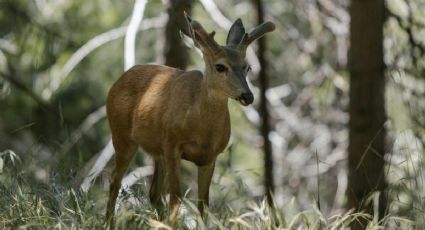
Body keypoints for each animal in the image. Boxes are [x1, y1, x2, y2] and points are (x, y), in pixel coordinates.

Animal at [104, 13, 274, 226]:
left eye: (247, 67)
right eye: (220, 67)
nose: (248, 96)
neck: (201, 131)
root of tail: (117, 81)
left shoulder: (210, 156)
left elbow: (203, 205)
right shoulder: (172, 146)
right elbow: (176, 200)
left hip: (157, 151)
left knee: (153, 193)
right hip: (122, 136)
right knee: (114, 182)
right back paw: (108, 223)